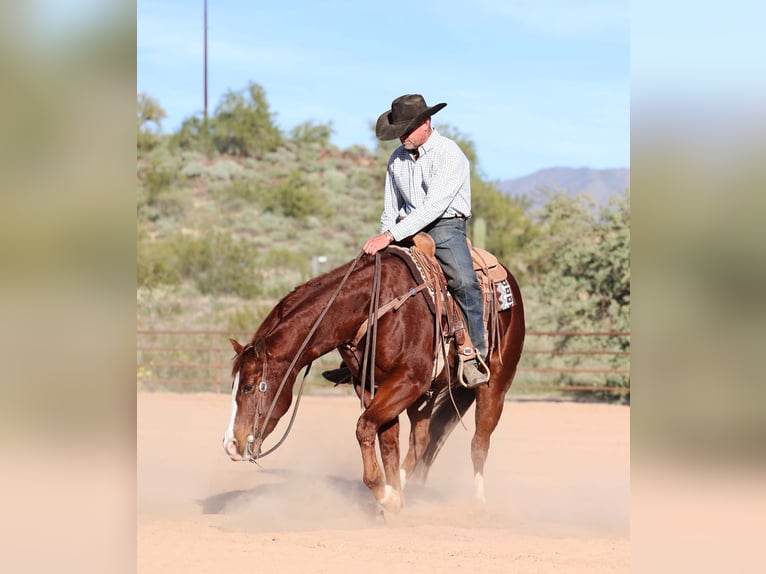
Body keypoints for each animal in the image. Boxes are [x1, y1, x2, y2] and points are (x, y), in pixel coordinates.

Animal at [222, 245, 524, 514]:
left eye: (248, 386)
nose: (231, 445)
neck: (372, 305)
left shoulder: (408, 381)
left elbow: (365, 427)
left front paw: (385, 494)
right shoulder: (373, 386)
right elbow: (388, 442)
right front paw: (394, 498)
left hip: (495, 384)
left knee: (479, 443)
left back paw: (477, 503)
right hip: (426, 395)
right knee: (422, 438)